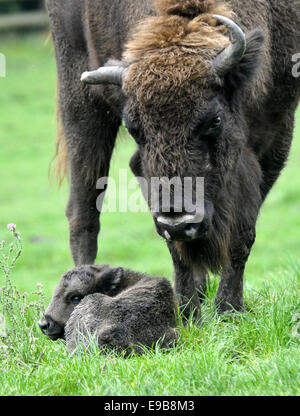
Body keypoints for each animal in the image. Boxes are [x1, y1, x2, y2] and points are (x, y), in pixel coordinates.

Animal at [46, 0, 300, 320]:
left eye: (214, 120)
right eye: (134, 128)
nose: (180, 223)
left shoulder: (273, 139)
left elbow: (242, 233)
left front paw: (229, 309)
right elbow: (176, 248)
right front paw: (189, 312)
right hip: (79, 93)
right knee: (83, 212)